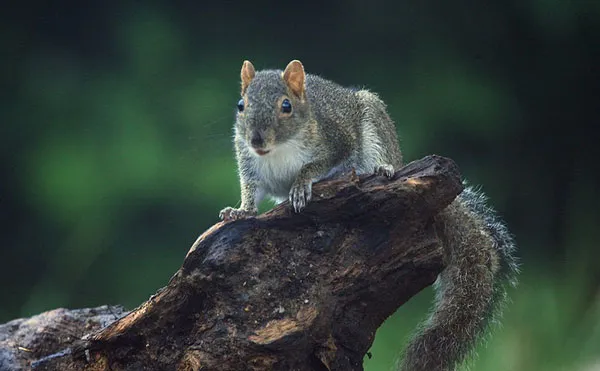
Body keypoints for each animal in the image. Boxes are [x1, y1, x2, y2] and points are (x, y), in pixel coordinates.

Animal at [218, 59, 516, 370]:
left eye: (286, 106)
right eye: (241, 105)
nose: (256, 140)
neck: (278, 150)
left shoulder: (337, 142)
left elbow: (314, 167)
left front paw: (300, 186)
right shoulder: (249, 164)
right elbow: (250, 191)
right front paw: (240, 211)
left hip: (374, 124)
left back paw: (383, 168)